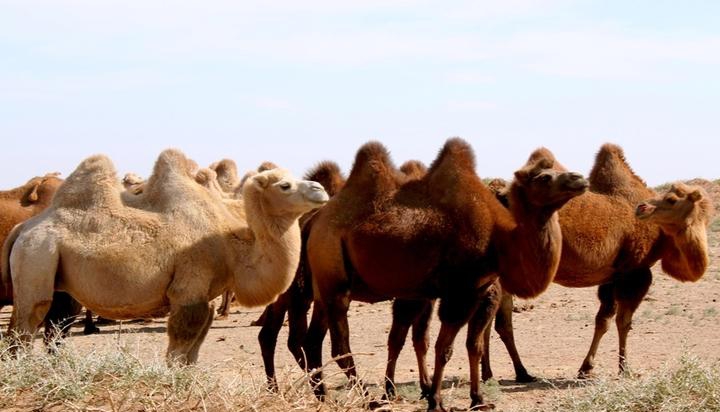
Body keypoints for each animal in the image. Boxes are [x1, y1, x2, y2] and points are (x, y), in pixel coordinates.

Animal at [300, 139, 588, 412]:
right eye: (544, 177)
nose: (580, 179)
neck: (499, 239)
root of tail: (315, 221)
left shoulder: (478, 291)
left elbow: (473, 346)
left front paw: (478, 399)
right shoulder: (458, 292)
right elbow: (444, 348)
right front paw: (436, 401)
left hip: (324, 286)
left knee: (313, 341)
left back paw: (323, 396)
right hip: (335, 279)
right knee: (340, 346)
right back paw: (368, 399)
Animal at [478, 143, 716, 382]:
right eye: (671, 199)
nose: (642, 208)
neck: (662, 237)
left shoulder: (612, 275)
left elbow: (603, 321)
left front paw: (587, 368)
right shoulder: (635, 273)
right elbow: (623, 322)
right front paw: (623, 369)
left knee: (497, 321)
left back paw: (509, 373)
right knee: (494, 319)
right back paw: (502, 373)